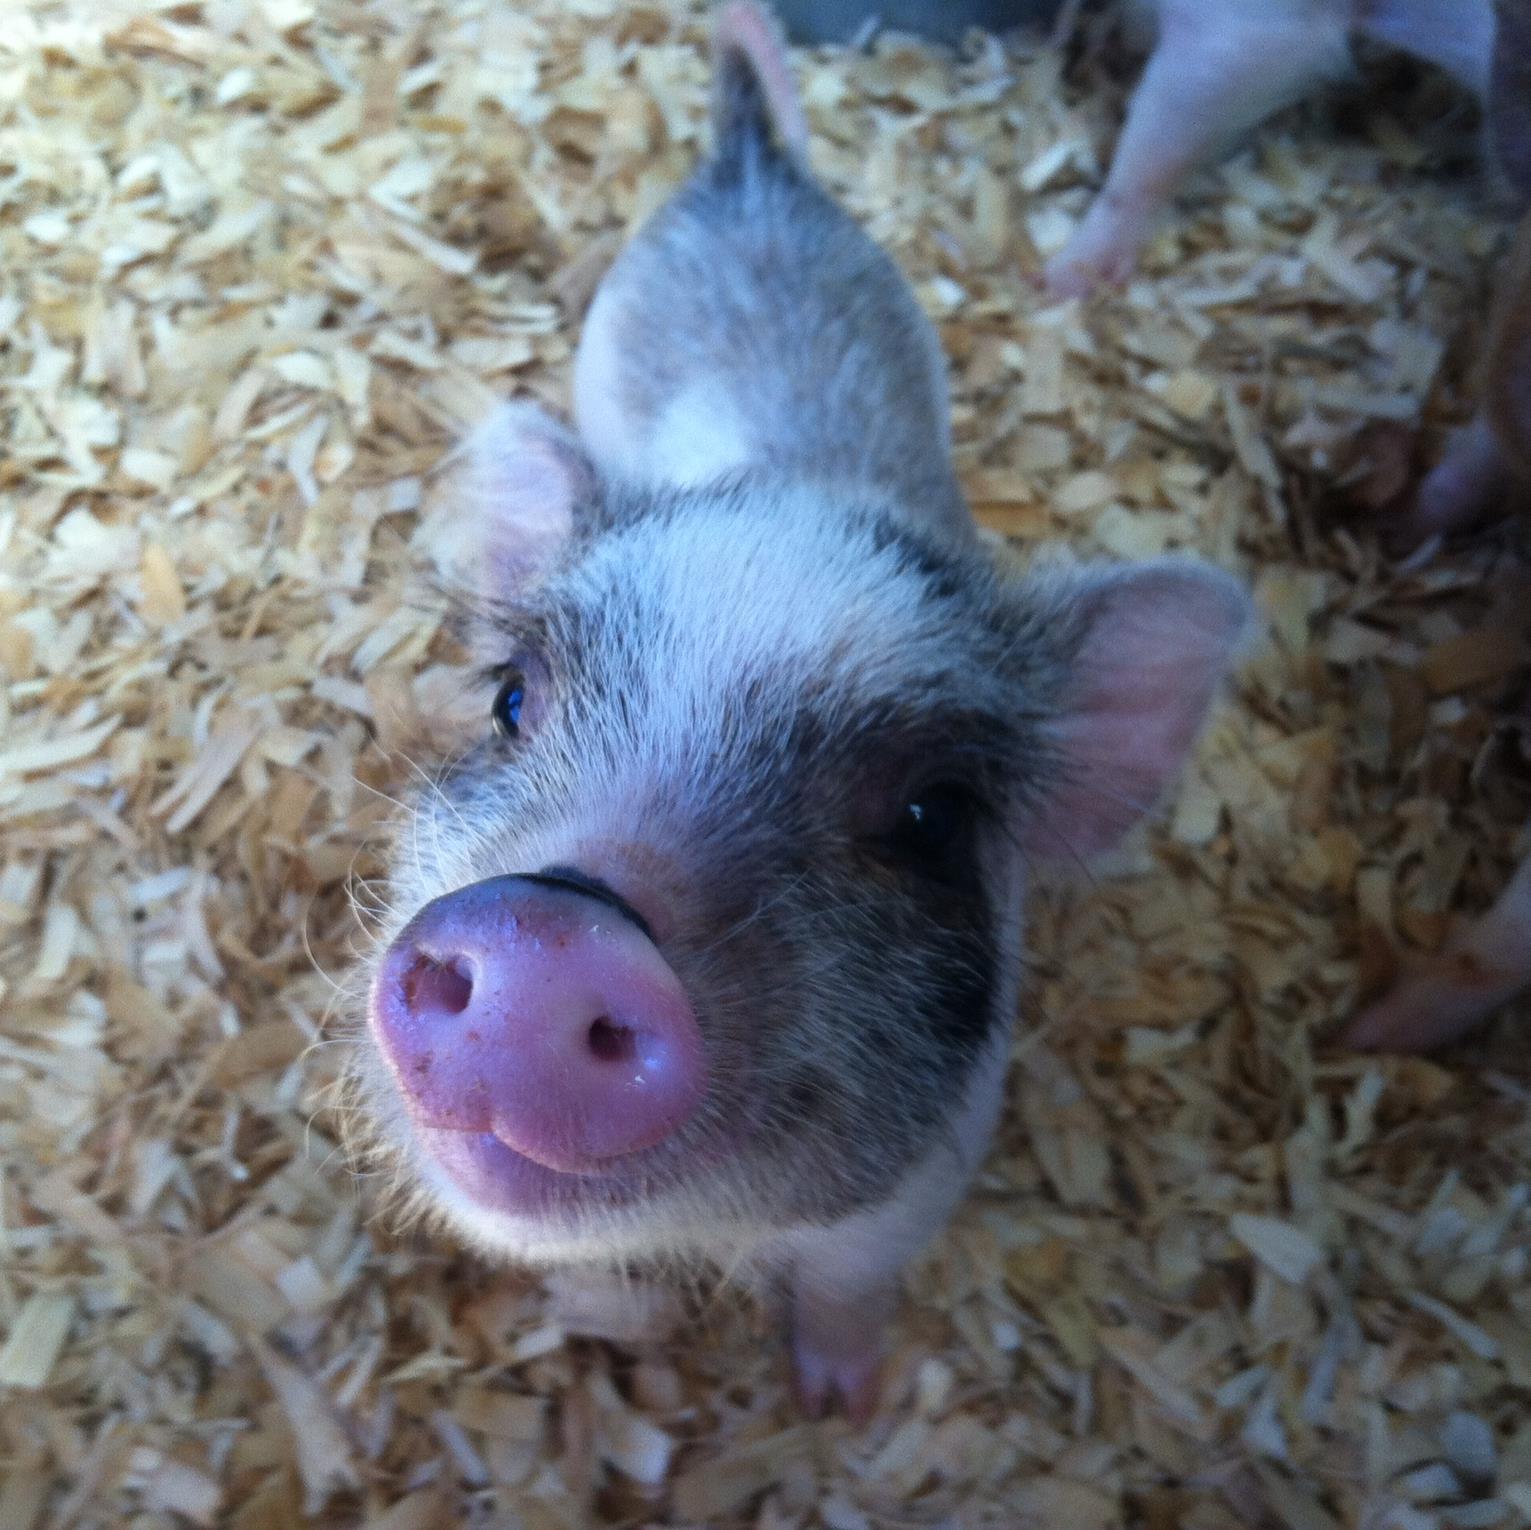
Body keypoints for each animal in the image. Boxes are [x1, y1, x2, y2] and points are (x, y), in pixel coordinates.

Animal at [345, 1, 1249, 1421]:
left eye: (932, 815)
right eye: (510, 699)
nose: (545, 926)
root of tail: (750, 168)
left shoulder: (920, 1185)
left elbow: (844, 1291)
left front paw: (837, 1404)